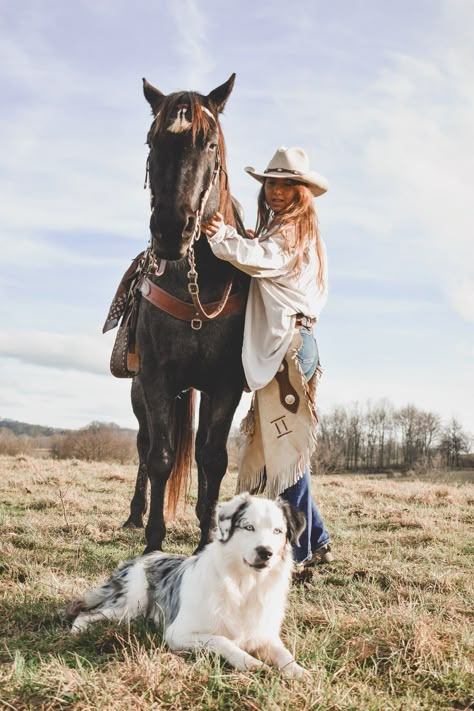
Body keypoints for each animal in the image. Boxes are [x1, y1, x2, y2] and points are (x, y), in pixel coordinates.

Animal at [69, 496, 308, 680]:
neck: (244, 587)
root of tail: (137, 559)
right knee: (86, 614)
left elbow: (285, 655)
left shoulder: (265, 636)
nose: (265, 552)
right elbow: (222, 641)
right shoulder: (178, 633)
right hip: (130, 605)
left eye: (278, 531)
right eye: (249, 527)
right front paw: (250, 663)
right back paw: (77, 631)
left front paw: (299, 672)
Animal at [121, 76, 248, 556]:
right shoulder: (156, 379)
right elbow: (160, 457)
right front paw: (154, 543)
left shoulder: (226, 386)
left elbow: (212, 459)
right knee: (146, 446)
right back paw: (135, 515)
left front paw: (208, 537)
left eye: (209, 143)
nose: (171, 230)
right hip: (140, 391)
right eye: (152, 141)